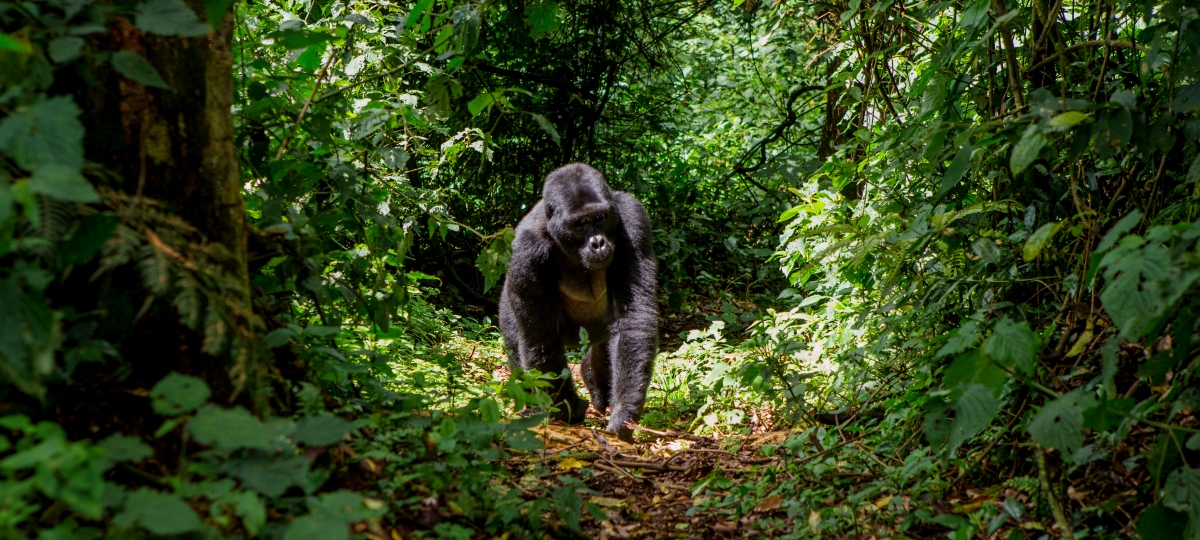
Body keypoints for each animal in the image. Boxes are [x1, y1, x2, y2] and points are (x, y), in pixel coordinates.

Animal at [499, 163, 658, 442]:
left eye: (600, 218)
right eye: (580, 223)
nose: (598, 243)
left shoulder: (633, 218)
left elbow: (633, 317)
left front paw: (624, 412)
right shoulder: (526, 250)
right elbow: (541, 338)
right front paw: (567, 409)